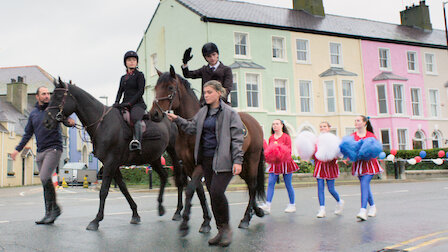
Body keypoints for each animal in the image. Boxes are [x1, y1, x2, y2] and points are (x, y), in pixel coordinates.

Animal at [43, 78, 173, 230]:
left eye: (58, 97)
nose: (46, 121)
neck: (102, 123)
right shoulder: (112, 164)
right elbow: (123, 188)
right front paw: (135, 214)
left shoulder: (111, 162)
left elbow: (104, 190)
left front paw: (96, 220)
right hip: (154, 158)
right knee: (164, 176)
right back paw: (161, 207)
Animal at [150, 66, 266, 235]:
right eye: (156, 88)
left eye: (170, 87)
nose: (154, 114)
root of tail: (255, 122)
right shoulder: (188, 165)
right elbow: (199, 191)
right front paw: (206, 220)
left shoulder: (201, 164)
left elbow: (190, 189)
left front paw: (185, 222)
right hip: (240, 165)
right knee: (251, 186)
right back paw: (256, 211)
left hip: (252, 160)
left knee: (252, 185)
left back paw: (245, 218)